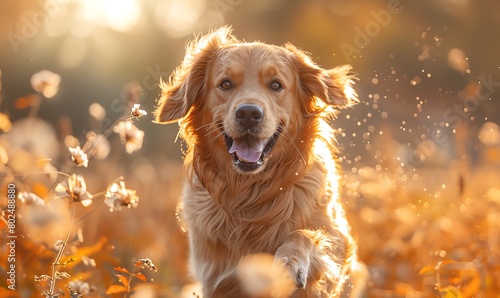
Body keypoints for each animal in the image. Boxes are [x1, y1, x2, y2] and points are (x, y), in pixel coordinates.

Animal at [154, 26, 370, 296]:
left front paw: (288, 263)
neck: (250, 196)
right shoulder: (216, 278)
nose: (248, 113)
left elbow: (305, 234)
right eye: (225, 84)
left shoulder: (338, 241)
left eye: (276, 85)